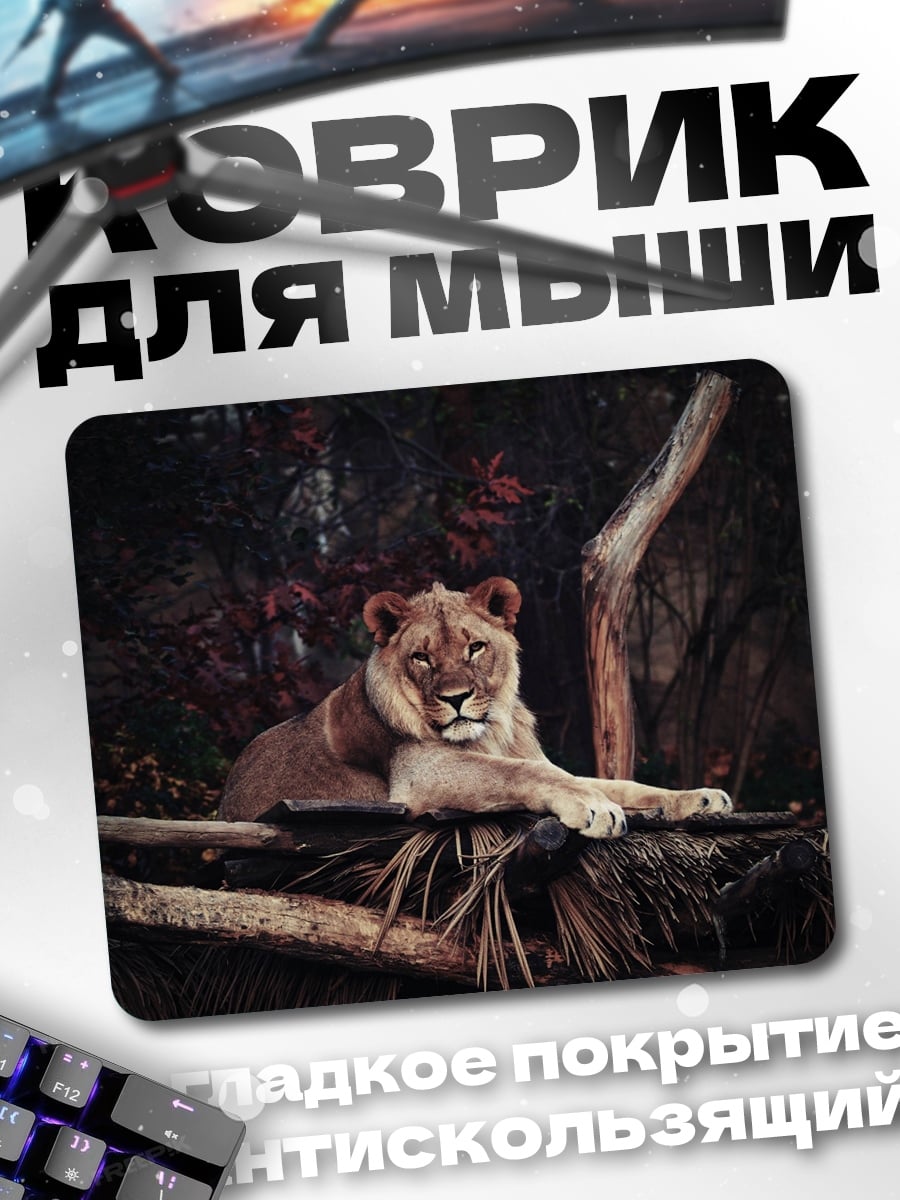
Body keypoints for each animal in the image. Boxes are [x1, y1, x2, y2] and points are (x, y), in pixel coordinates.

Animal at [218, 577, 731, 836]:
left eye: (476, 648)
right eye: (421, 657)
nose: (456, 698)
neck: (492, 732)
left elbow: (620, 783)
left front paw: (698, 798)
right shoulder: (418, 775)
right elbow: (525, 774)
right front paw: (592, 806)